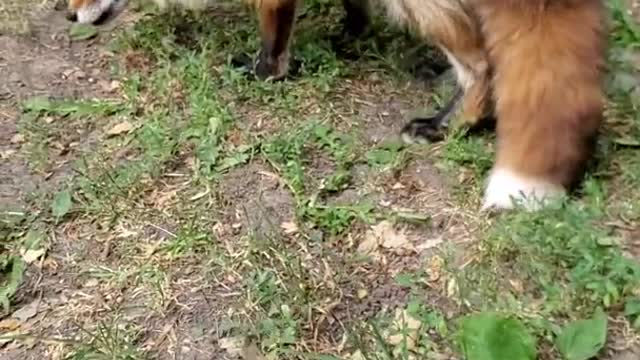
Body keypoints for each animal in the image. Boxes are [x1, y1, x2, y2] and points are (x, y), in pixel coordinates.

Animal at [67, 0, 608, 211]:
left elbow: (272, 43)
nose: (68, 16)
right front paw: (351, 35)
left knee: (482, 66)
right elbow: (353, 9)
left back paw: (449, 124)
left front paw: (265, 73)